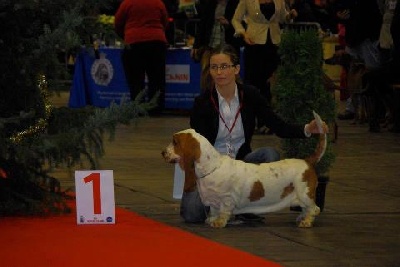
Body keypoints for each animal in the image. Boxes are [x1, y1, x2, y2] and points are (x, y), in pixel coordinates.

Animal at [161, 129, 326, 229]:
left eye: (175, 142)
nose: (163, 153)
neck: (212, 167)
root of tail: (307, 161)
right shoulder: (214, 200)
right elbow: (214, 211)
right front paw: (211, 220)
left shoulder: (226, 199)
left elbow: (223, 212)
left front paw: (219, 223)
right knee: (307, 208)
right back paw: (301, 218)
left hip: (305, 194)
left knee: (314, 209)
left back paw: (306, 221)